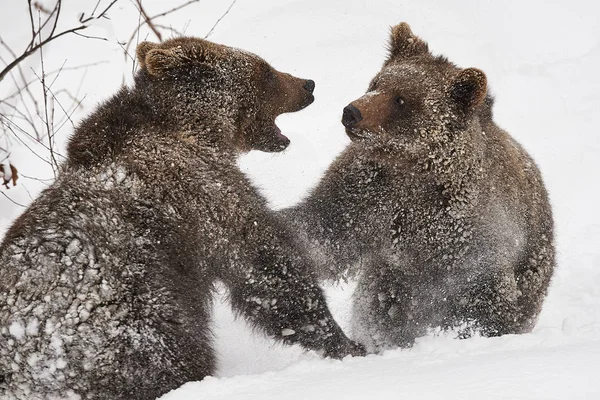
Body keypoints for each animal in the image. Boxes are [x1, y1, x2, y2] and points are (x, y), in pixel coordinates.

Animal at [0, 37, 364, 400]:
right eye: (265, 71)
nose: (308, 85)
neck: (198, 131)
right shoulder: (205, 194)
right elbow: (267, 268)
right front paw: (345, 343)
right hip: (133, 324)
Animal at [284, 23, 556, 352]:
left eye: (401, 99)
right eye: (376, 82)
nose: (352, 112)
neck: (416, 168)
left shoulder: (465, 234)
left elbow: (486, 302)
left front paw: (480, 332)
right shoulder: (366, 191)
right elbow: (323, 230)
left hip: (533, 263)